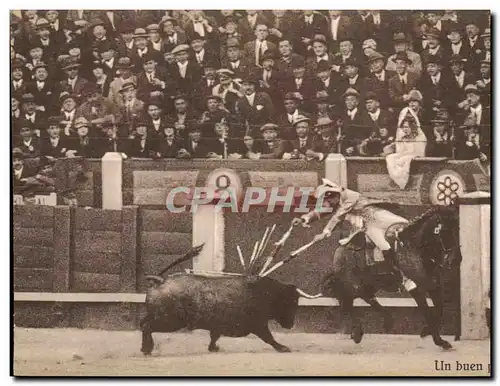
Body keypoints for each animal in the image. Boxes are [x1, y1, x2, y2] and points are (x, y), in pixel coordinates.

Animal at [320, 207, 460, 352]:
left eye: (458, 228)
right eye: (446, 230)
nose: (457, 259)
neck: (414, 247)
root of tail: (341, 248)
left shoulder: (433, 285)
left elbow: (439, 309)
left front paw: (427, 332)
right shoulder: (414, 287)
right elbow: (428, 313)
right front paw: (440, 341)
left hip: (369, 284)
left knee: (362, 298)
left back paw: (385, 321)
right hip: (353, 285)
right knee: (347, 302)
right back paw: (358, 333)